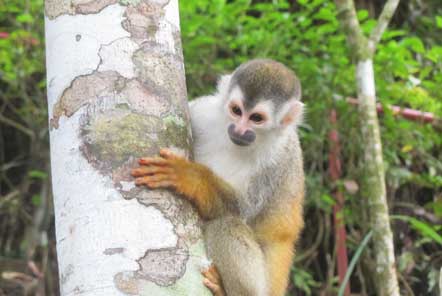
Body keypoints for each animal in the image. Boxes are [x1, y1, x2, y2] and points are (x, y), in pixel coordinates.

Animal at [131, 59, 304, 294]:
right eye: (236, 111)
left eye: (256, 118)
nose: (239, 130)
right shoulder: (204, 111)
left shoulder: (279, 159)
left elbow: (241, 210)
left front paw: (189, 176)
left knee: (226, 223)